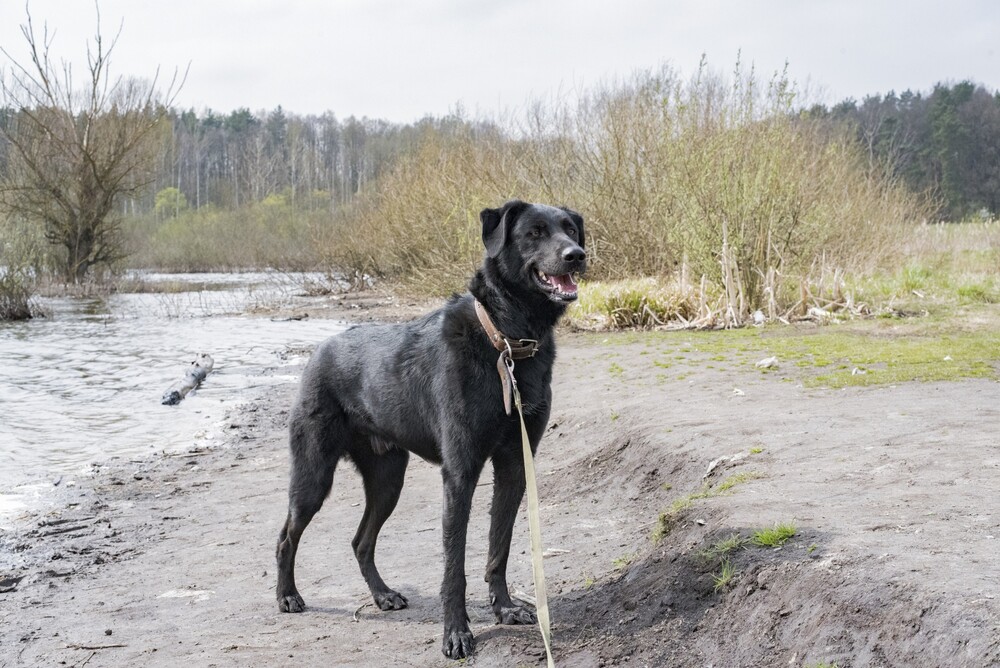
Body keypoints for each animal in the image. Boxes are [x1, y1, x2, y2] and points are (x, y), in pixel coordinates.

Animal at [274, 198, 584, 656]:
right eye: (535, 233)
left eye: (571, 230)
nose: (576, 256)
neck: (506, 342)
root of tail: (320, 349)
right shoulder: (460, 473)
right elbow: (454, 566)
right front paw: (456, 632)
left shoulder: (513, 465)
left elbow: (499, 546)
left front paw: (505, 608)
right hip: (313, 477)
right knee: (286, 537)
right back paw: (287, 595)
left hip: (388, 480)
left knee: (361, 541)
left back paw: (382, 595)